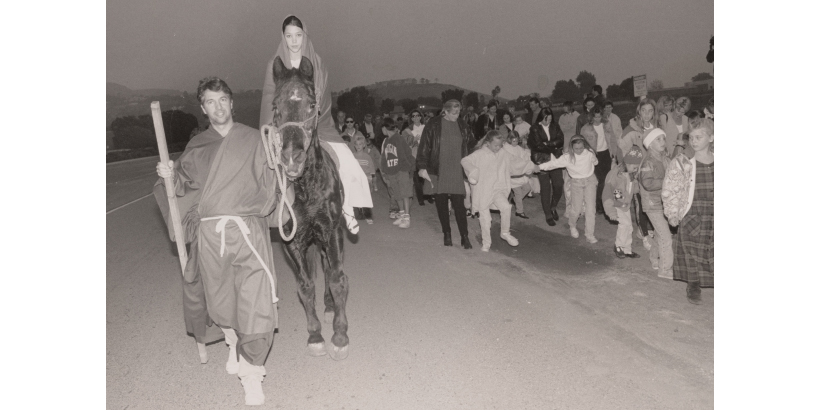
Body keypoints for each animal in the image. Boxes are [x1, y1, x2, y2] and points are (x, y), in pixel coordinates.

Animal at [262, 56, 350, 358]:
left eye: (312, 104)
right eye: (275, 106)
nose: (292, 157)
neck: (306, 188)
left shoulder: (332, 232)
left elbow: (336, 279)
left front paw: (339, 334)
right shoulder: (294, 241)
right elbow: (305, 285)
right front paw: (315, 335)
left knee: (328, 268)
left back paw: (330, 307)